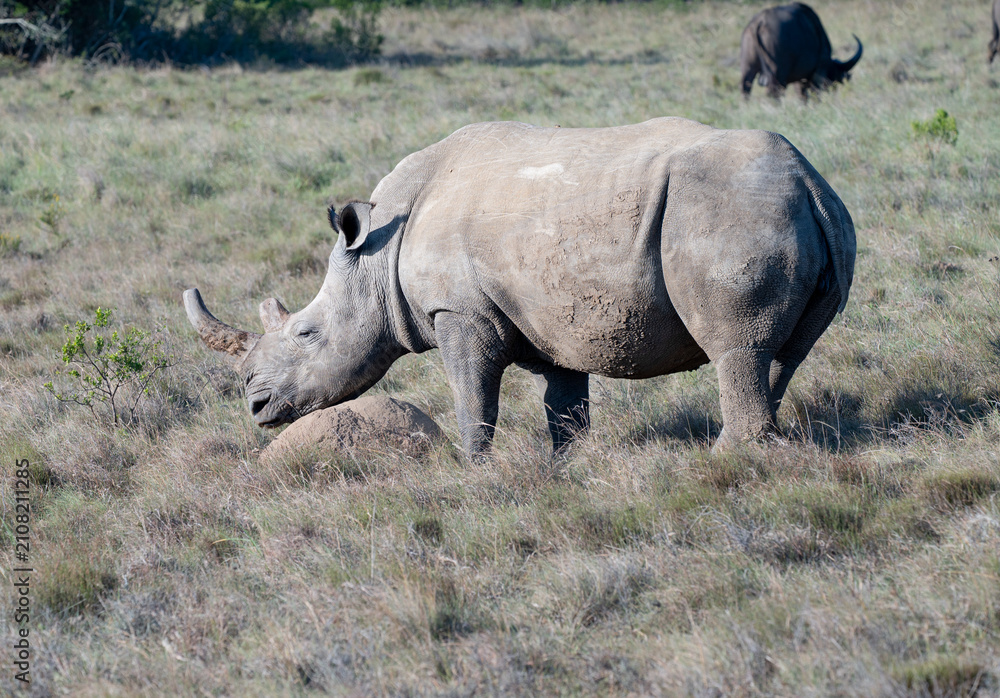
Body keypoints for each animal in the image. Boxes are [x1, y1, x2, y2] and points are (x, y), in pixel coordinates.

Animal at [184, 118, 856, 456]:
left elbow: (473, 397)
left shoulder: (458, 310)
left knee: (737, 347)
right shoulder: (549, 313)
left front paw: (473, 468)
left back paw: (729, 461)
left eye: (306, 333)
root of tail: (808, 180)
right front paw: (566, 467)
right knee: (783, 354)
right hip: (801, 215)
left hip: (727, 209)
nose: (256, 408)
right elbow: (565, 403)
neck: (374, 257)